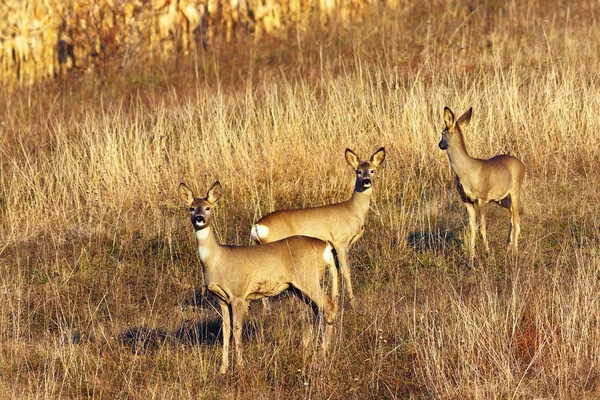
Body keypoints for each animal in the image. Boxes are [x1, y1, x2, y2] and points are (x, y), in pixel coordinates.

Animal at [177, 182, 338, 376]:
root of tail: (325, 247)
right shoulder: (221, 299)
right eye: (191, 208)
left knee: (329, 306)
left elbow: (237, 329)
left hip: (309, 278)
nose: (199, 218)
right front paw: (223, 368)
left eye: (208, 207)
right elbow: (225, 331)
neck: (217, 260)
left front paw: (240, 366)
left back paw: (323, 355)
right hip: (297, 287)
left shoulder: (238, 293)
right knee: (317, 310)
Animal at [251, 147, 386, 306]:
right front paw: (352, 302)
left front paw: (336, 297)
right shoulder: (340, 241)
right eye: (358, 171)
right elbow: (346, 271)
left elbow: (335, 270)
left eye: (372, 170)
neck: (353, 210)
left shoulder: (332, 247)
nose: (366, 181)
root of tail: (257, 226)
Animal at [436, 107, 524, 262]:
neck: (467, 172)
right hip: (500, 199)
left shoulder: (481, 198)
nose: (440, 145)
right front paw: (472, 257)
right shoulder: (467, 200)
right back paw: (508, 246)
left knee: (517, 219)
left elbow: (482, 226)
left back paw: (515, 251)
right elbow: (472, 228)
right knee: (512, 214)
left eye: (443, 133)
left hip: (515, 190)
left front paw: (488, 253)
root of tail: (523, 165)